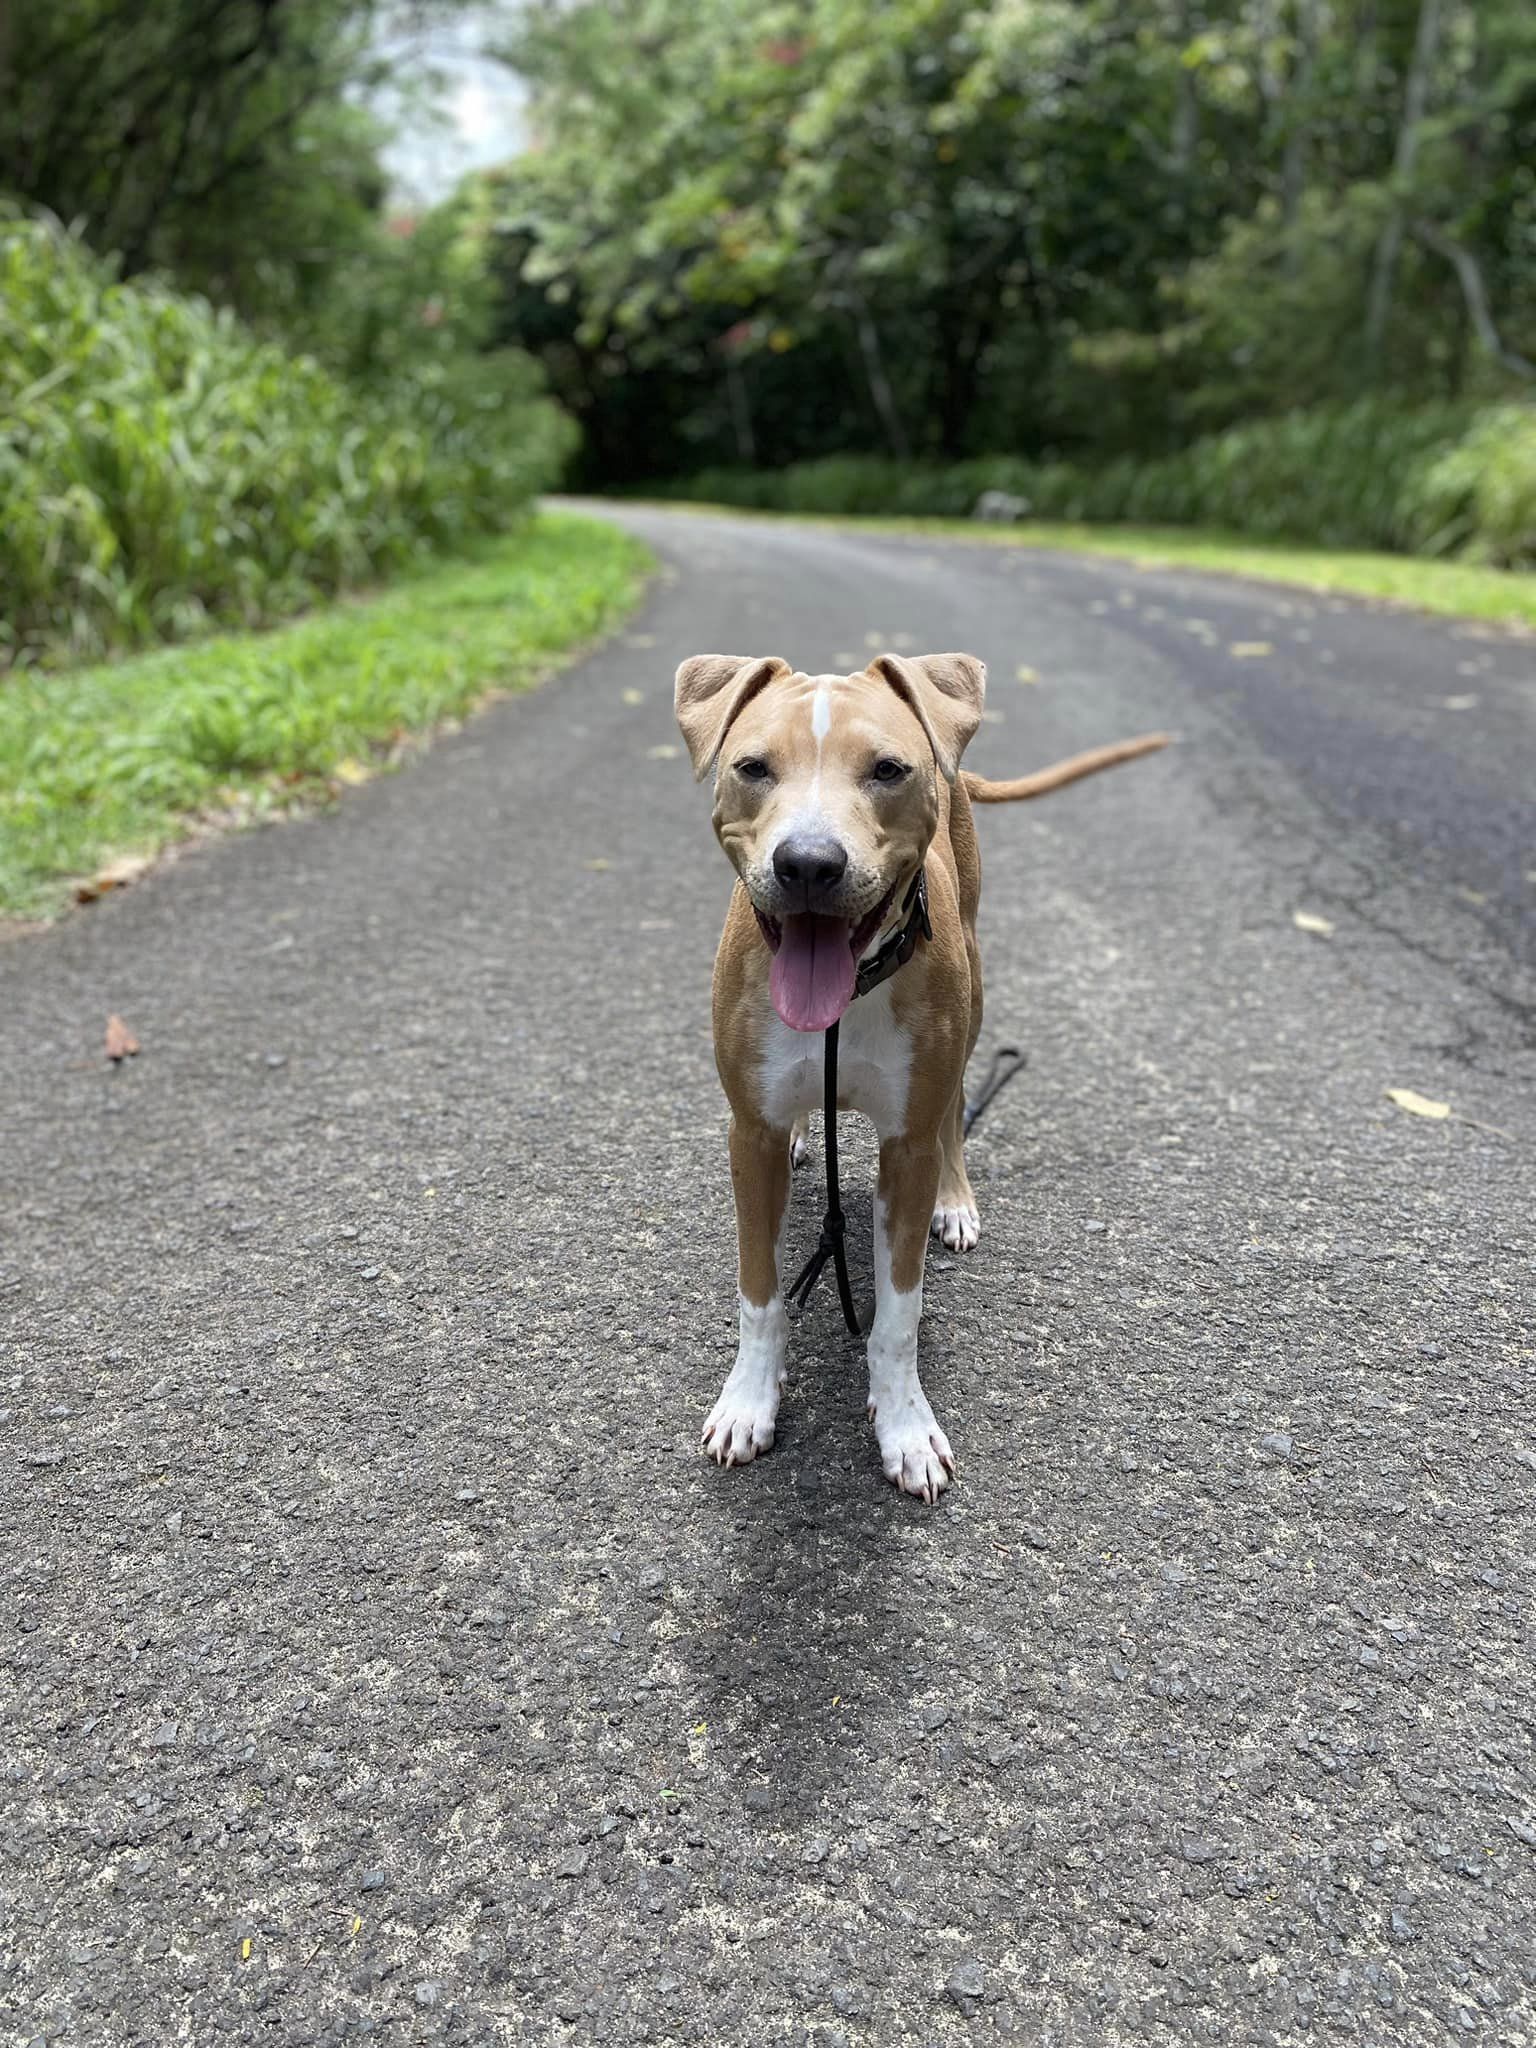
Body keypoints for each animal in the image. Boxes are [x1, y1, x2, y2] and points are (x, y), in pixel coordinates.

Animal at [671, 655, 1163, 1507]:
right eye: (753, 767)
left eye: (888, 770)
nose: (808, 863)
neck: (849, 998)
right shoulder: (748, 1137)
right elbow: (759, 1294)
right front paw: (748, 1401)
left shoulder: (905, 1147)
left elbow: (899, 1312)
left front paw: (904, 1427)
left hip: (973, 995)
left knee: (956, 1110)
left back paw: (956, 1201)